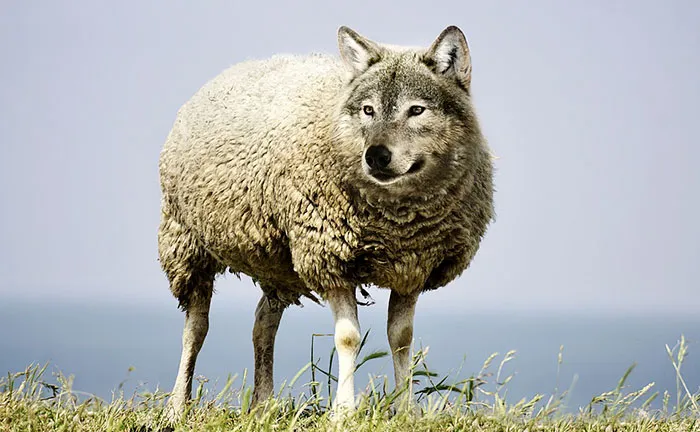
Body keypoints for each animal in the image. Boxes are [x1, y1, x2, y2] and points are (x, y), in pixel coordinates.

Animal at [158, 25, 494, 419]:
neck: (396, 222)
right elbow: (348, 338)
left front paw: (405, 410)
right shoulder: (329, 258)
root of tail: (236, 67)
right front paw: (345, 412)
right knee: (195, 328)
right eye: (368, 109)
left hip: (278, 263)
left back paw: (263, 405)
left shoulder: (412, 266)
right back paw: (177, 406)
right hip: (185, 242)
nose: (376, 156)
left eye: (417, 110)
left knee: (263, 324)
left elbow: (401, 339)